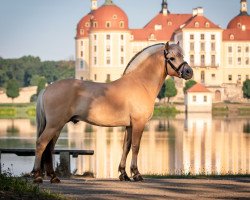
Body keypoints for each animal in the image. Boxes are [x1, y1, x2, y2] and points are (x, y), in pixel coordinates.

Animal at [31, 42, 193, 183]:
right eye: (172, 58)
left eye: (183, 55)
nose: (189, 72)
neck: (141, 83)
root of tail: (47, 88)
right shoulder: (139, 123)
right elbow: (136, 147)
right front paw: (136, 174)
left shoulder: (129, 125)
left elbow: (126, 147)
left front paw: (123, 174)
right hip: (54, 125)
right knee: (41, 144)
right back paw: (38, 176)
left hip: (57, 126)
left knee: (49, 148)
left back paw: (53, 177)